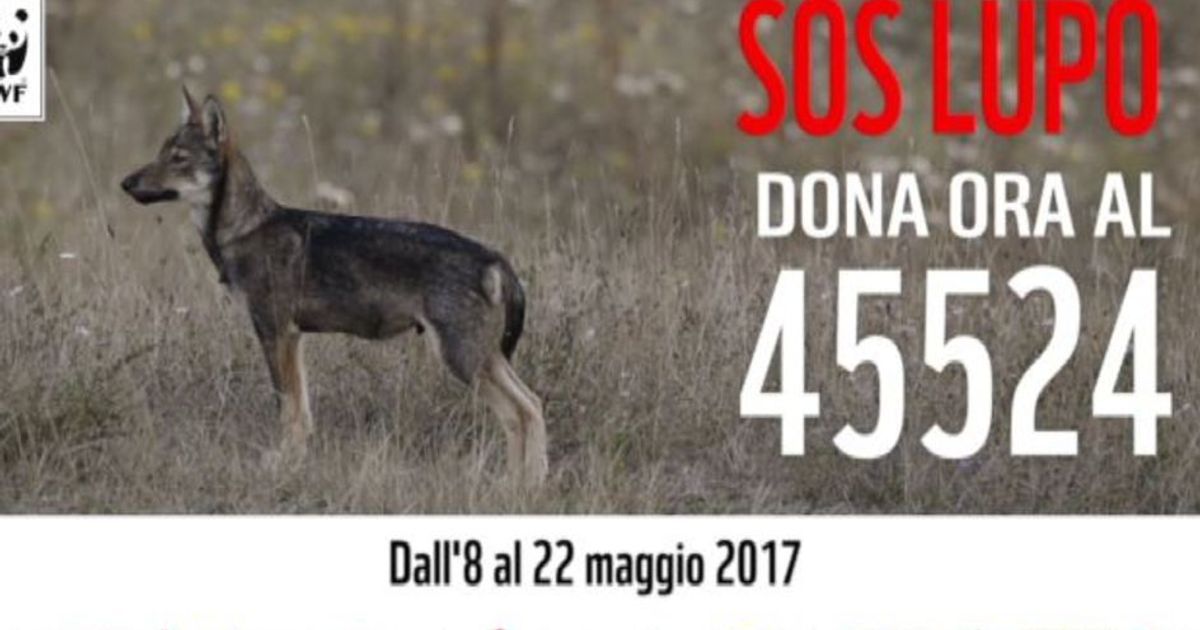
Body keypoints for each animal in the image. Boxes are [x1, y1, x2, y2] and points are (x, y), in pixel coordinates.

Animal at [120, 88, 547, 485]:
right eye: (161, 153)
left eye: (178, 158)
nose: (125, 182)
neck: (246, 228)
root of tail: (492, 256)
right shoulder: (292, 338)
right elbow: (302, 412)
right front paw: (294, 460)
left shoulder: (274, 333)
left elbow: (287, 409)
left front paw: (283, 464)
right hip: (483, 358)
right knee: (534, 404)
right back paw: (526, 483)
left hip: (462, 358)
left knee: (521, 412)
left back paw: (518, 484)